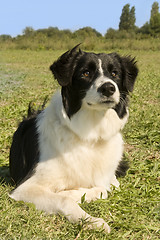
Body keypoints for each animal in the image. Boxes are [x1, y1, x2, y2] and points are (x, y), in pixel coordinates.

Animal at [9, 45, 138, 232]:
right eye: (85, 73)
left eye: (114, 73)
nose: (108, 88)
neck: (91, 134)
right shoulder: (25, 188)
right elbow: (64, 199)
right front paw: (93, 221)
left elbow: (103, 188)